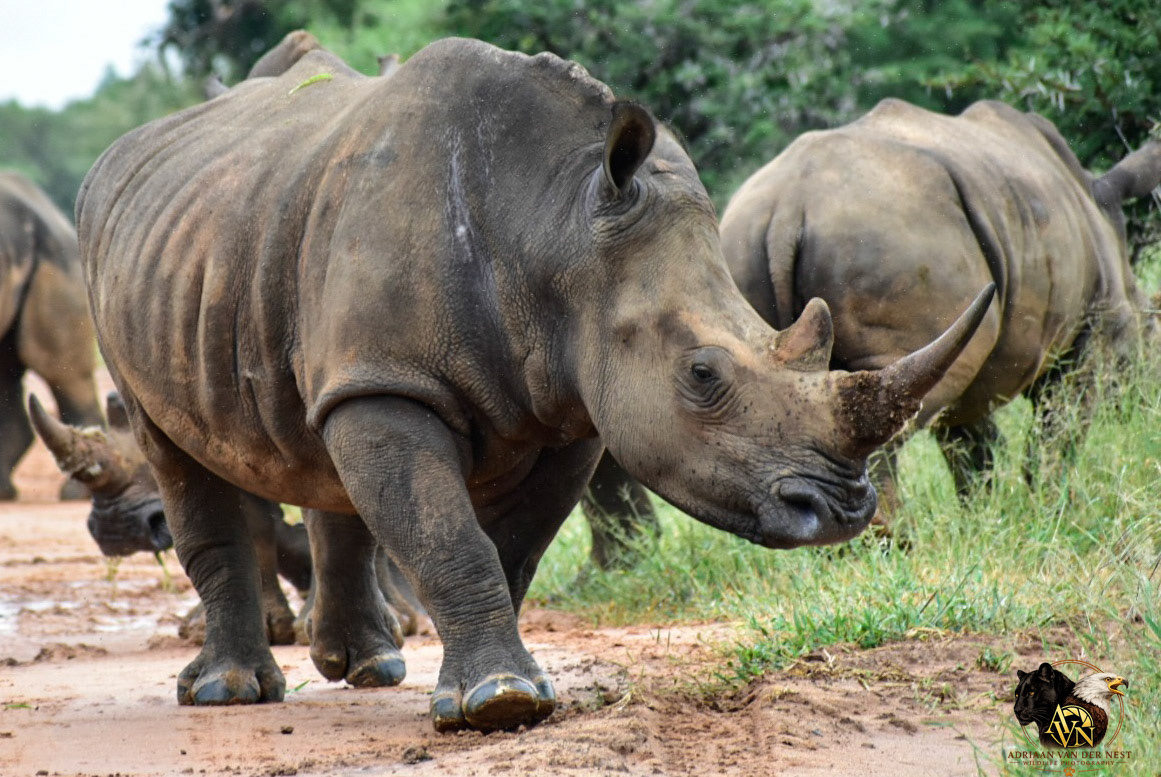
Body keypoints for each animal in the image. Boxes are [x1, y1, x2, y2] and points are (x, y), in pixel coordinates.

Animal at [76, 39, 990, 732]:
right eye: (702, 375)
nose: (841, 510)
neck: (556, 229)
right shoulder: (397, 382)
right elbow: (450, 534)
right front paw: (496, 703)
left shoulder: (571, 405)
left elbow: (508, 544)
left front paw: (497, 690)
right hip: (151, 276)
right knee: (173, 447)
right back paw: (229, 692)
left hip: (255, 246)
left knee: (323, 437)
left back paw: (368, 665)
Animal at [720, 99, 1159, 502]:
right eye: (1155, 330)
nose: (1147, 405)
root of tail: (784, 214)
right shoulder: (1093, 331)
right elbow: (1057, 435)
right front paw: (1052, 507)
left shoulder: (964, 349)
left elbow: (972, 449)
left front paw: (985, 515)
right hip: (890, 243)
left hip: (746, 253)